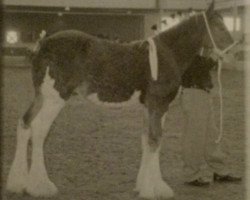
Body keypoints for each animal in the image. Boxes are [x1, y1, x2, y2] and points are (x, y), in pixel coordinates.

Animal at [6, 1, 233, 200]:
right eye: (219, 26)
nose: (233, 48)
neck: (167, 53)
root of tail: (43, 43)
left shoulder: (152, 107)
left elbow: (148, 140)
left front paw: (148, 186)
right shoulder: (158, 105)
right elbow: (155, 140)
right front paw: (152, 190)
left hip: (41, 97)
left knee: (24, 124)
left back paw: (18, 183)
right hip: (55, 99)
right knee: (39, 131)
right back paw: (40, 186)